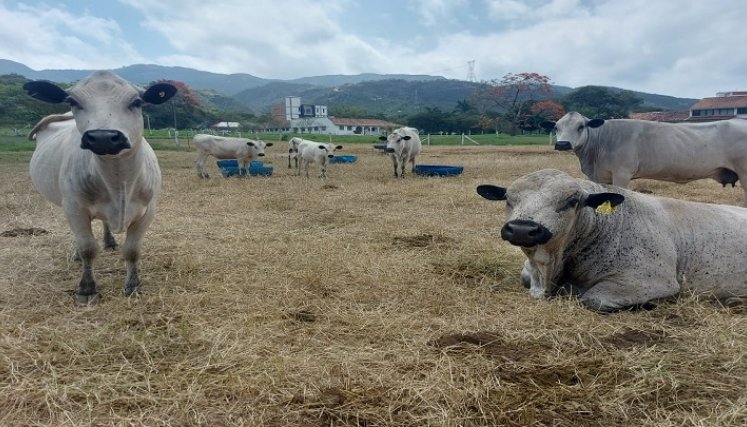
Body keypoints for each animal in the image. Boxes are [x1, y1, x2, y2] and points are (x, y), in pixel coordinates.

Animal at [23, 71, 178, 304]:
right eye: (73, 101)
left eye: (137, 102)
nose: (102, 137)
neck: (119, 183)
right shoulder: (74, 207)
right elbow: (88, 248)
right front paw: (87, 289)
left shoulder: (148, 210)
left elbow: (132, 250)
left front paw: (133, 285)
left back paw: (110, 241)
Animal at [476, 169, 747, 312]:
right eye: (508, 198)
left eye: (572, 201)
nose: (522, 229)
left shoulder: (653, 280)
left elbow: (593, 298)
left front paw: (648, 305)